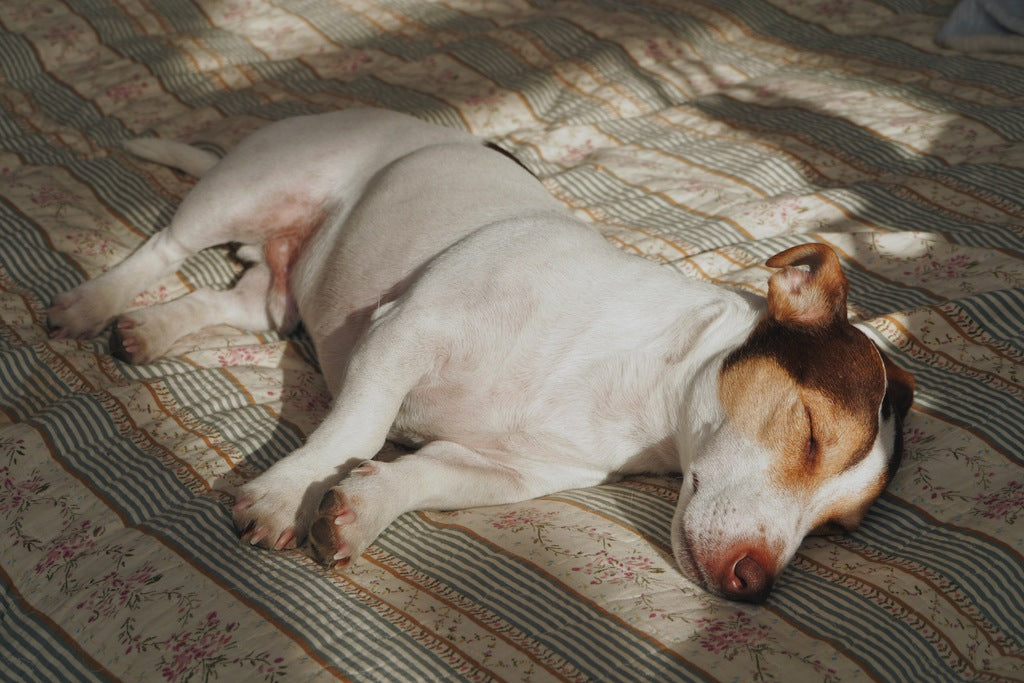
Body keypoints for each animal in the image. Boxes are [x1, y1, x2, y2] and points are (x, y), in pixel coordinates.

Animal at [48, 108, 913, 602]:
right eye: (808, 431)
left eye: (836, 528)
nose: (754, 588)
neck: (637, 383)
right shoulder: (407, 330)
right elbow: (356, 430)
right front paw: (286, 493)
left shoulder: (507, 471)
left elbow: (422, 476)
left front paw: (359, 509)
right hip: (247, 189)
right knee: (164, 247)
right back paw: (92, 302)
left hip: (278, 294)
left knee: (231, 302)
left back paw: (148, 330)